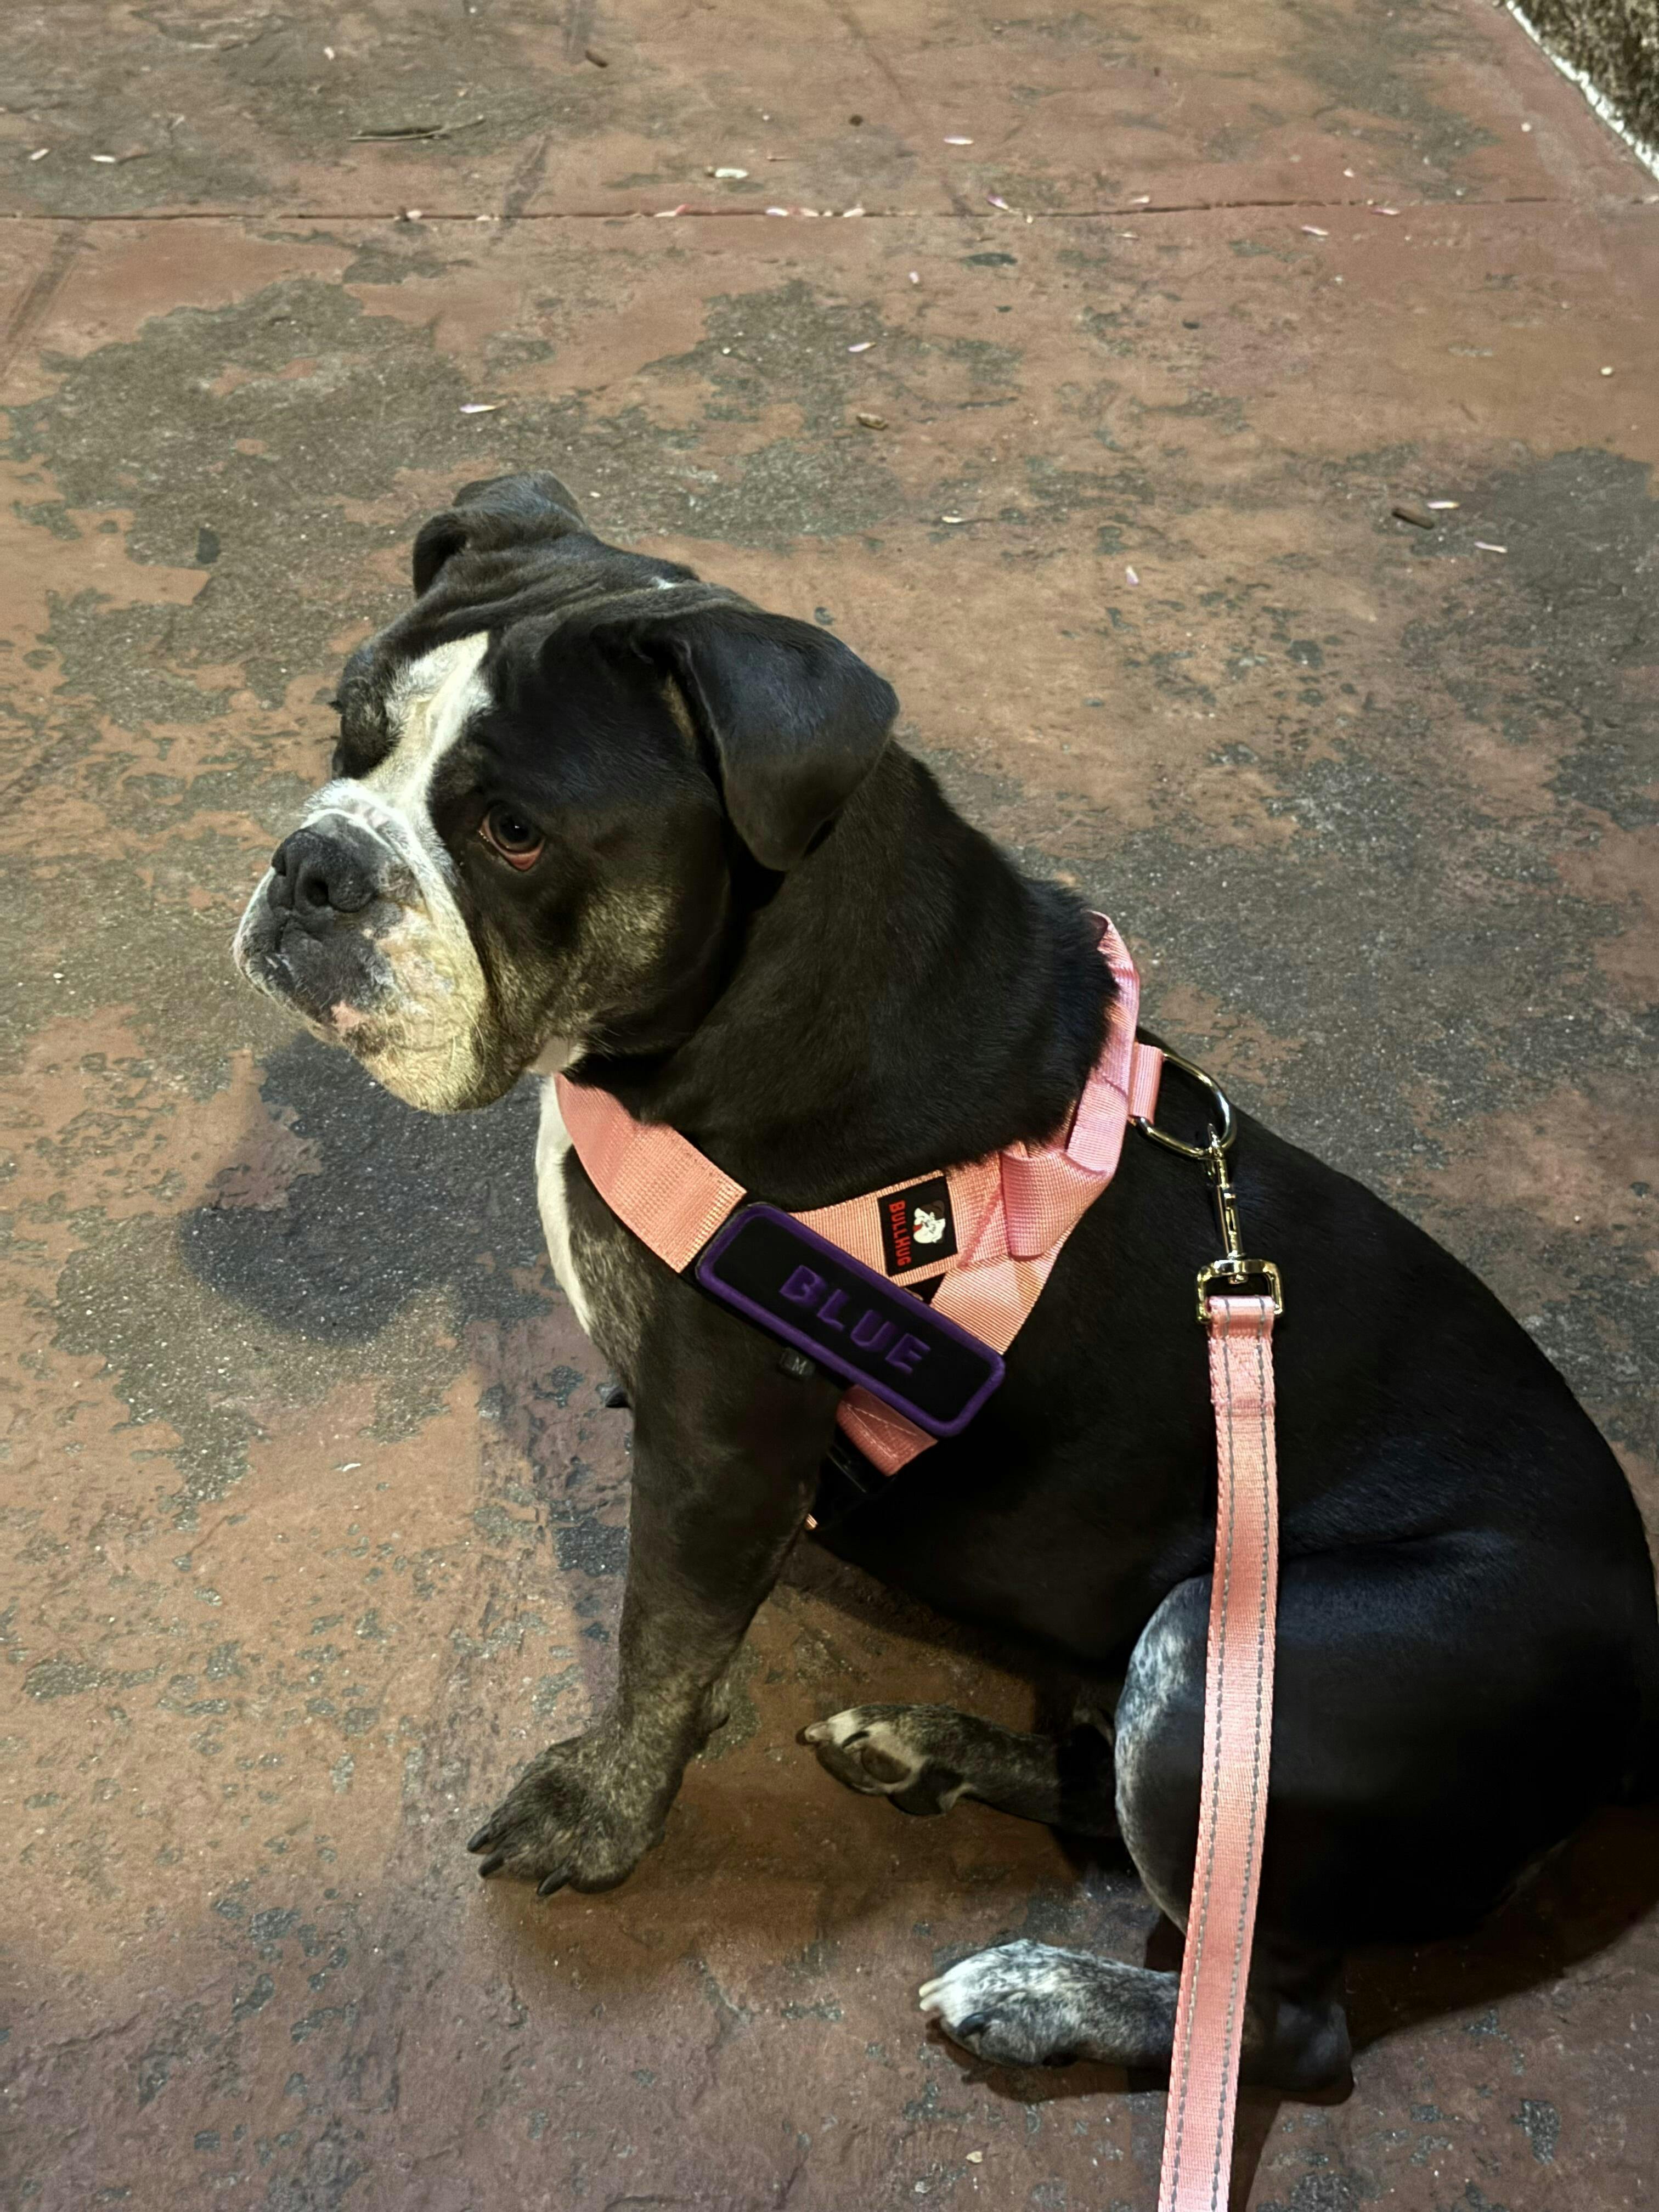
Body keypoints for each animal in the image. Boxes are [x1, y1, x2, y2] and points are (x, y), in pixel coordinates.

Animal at [234, 471, 1659, 2089]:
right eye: (347, 729)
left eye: (515, 832)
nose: (316, 863)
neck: (746, 999)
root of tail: (1642, 1692)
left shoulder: (725, 1458)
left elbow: (662, 1649)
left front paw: (600, 1815)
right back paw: (927, 1752)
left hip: (1226, 1658)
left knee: (1278, 2017)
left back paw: (1036, 1995)